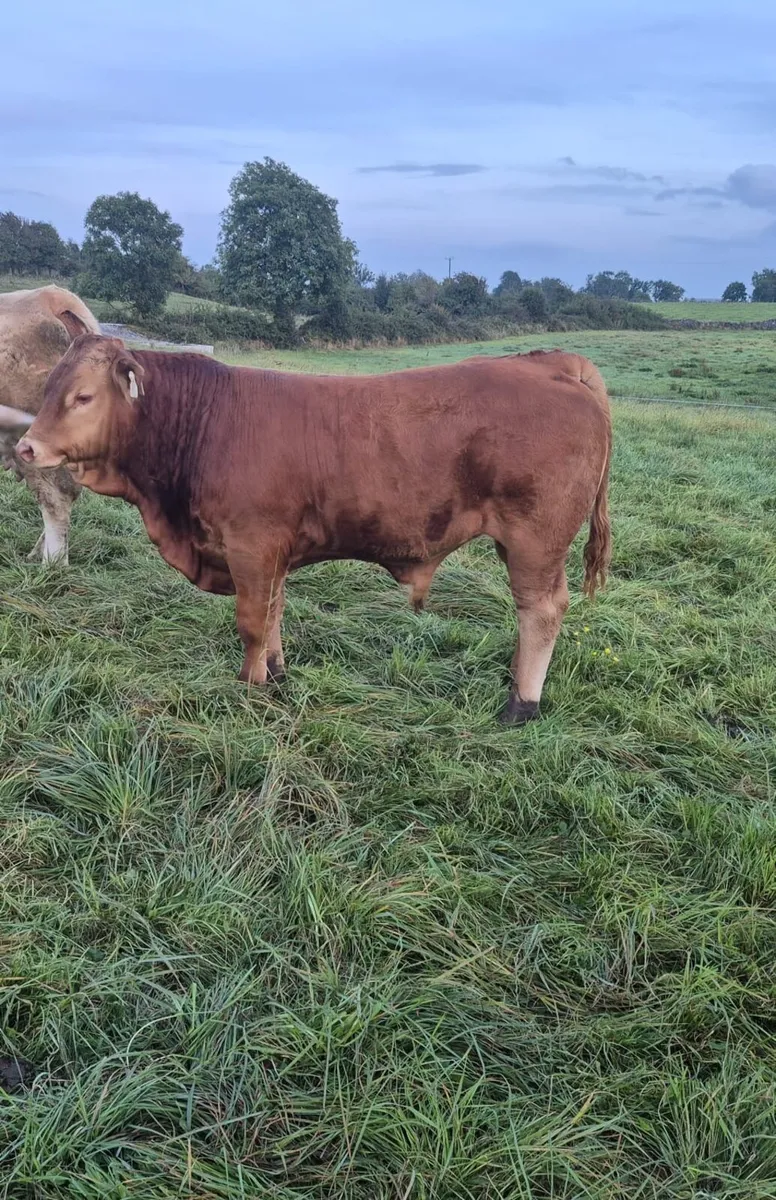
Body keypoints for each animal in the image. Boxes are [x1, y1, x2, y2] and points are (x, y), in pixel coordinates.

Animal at [16, 336, 612, 723]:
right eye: (47, 389)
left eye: (83, 396)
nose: (25, 447)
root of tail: (552, 363)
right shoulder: (273, 550)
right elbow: (274, 611)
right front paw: (276, 674)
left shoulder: (250, 545)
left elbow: (251, 622)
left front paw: (249, 688)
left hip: (535, 539)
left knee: (541, 611)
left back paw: (521, 703)